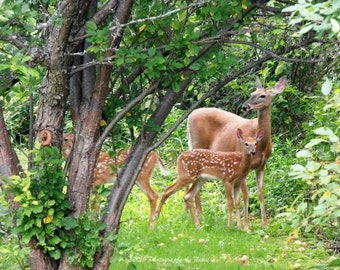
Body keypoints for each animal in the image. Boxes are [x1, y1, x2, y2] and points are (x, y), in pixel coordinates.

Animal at [186, 77, 286, 227]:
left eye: (262, 95)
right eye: (251, 93)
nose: (245, 107)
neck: (261, 145)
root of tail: (189, 116)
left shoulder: (261, 165)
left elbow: (260, 192)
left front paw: (265, 223)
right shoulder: (244, 164)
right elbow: (245, 195)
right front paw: (245, 225)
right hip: (197, 145)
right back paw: (200, 215)